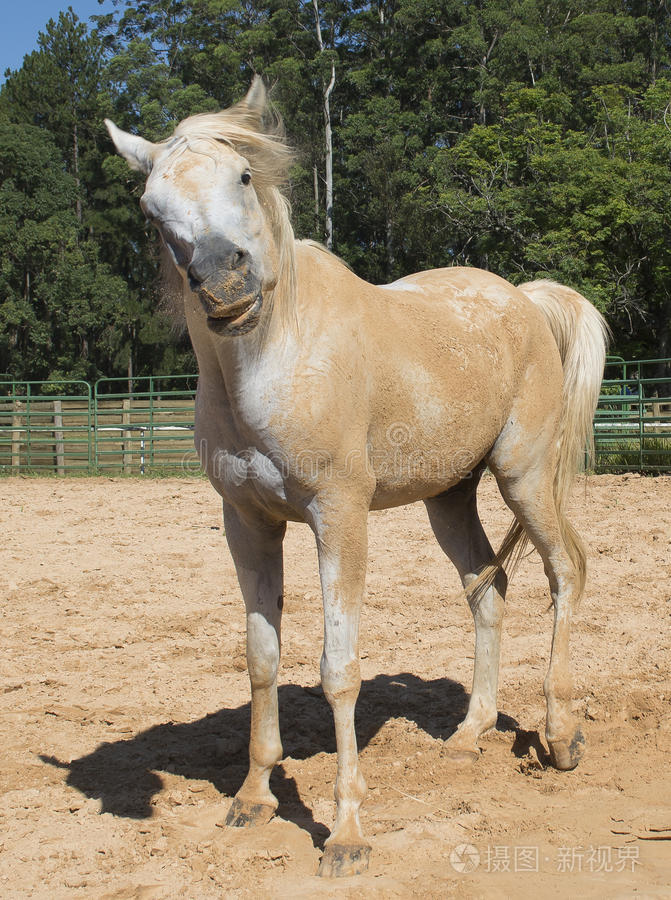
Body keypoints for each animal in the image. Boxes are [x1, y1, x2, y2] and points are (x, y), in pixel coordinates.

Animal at [106, 77, 608, 877]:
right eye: (152, 209)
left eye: (242, 176)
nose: (225, 285)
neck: (277, 356)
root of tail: (525, 301)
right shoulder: (247, 524)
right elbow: (261, 658)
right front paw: (252, 798)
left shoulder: (337, 517)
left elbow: (338, 669)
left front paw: (344, 833)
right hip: (449, 498)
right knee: (488, 588)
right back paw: (468, 735)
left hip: (523, 476)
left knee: (565, 574)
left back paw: (559, 735)